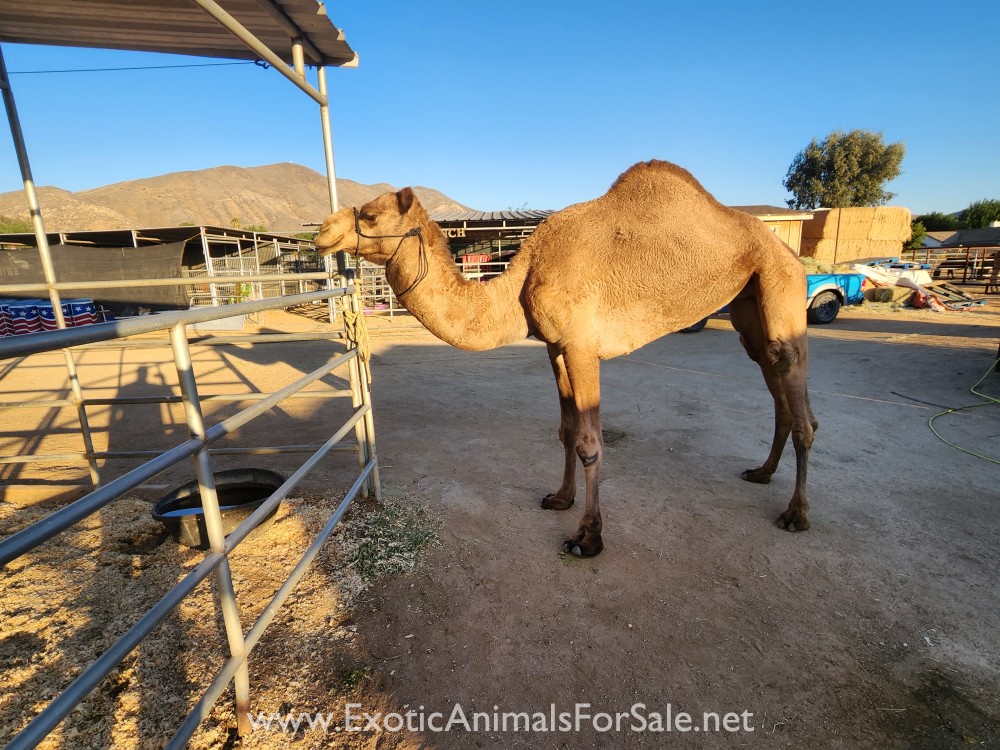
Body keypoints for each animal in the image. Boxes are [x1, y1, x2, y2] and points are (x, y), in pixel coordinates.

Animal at [315, 160, 817, 557]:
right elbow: (565, 430)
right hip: (750, 306)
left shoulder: (581, 345)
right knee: (773, 376)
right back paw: (762, 472)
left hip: (781, 282)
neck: (520, 282)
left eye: (369, 214)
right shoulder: (555, 348)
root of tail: (788, 250)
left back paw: (796, 513)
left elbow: (590, 442)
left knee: (796, 388)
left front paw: (588, 537)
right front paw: (560, 498)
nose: (321, 231)